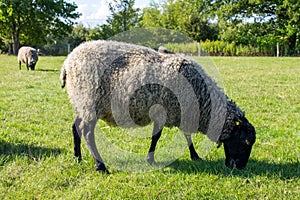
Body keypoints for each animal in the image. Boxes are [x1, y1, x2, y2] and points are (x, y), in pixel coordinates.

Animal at [60, 39, 255, 173]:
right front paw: (150, 159)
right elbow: (157, 136)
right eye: (245, 142)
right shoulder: (165, 111)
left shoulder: (182, 111)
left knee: (75, 127)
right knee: (87, 132)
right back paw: (100, 166)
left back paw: (77, 157)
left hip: (81, 103)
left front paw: (194, 156)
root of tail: (68, 62)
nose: (239, 167)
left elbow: (186, 136)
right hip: (90, 101)